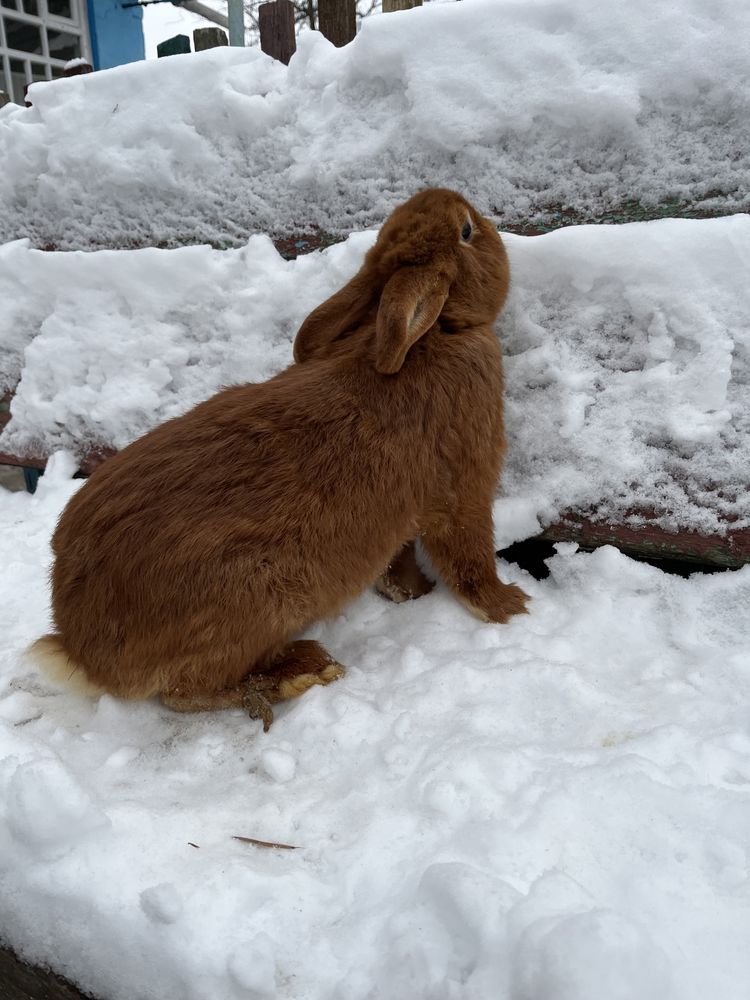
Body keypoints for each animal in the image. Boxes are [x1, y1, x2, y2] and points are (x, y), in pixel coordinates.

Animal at [29, 191, 532, 732]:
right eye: (466, 231)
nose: (476, 213)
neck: (436, 332)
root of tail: (82, 650)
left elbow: (399, 560)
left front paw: (411, 593)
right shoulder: (465, 484)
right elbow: (468, 555)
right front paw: (511, 607)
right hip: (255, 605)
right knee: (185, 693)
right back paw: (301, 671)